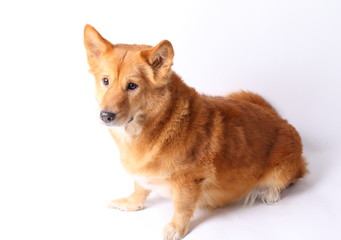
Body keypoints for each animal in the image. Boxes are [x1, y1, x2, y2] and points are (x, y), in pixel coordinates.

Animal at [83, 24, 306, 240]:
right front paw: (132, 203)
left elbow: (182, 207)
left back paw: (270, 194)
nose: (106, 116)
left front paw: (176, 228)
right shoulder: (142, 174)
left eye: (132, 86)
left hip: (281, 171)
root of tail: (281, 119)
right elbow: (140, 187)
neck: (159, 124)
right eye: (105, 81)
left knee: (286, 181)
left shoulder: (188, 182)